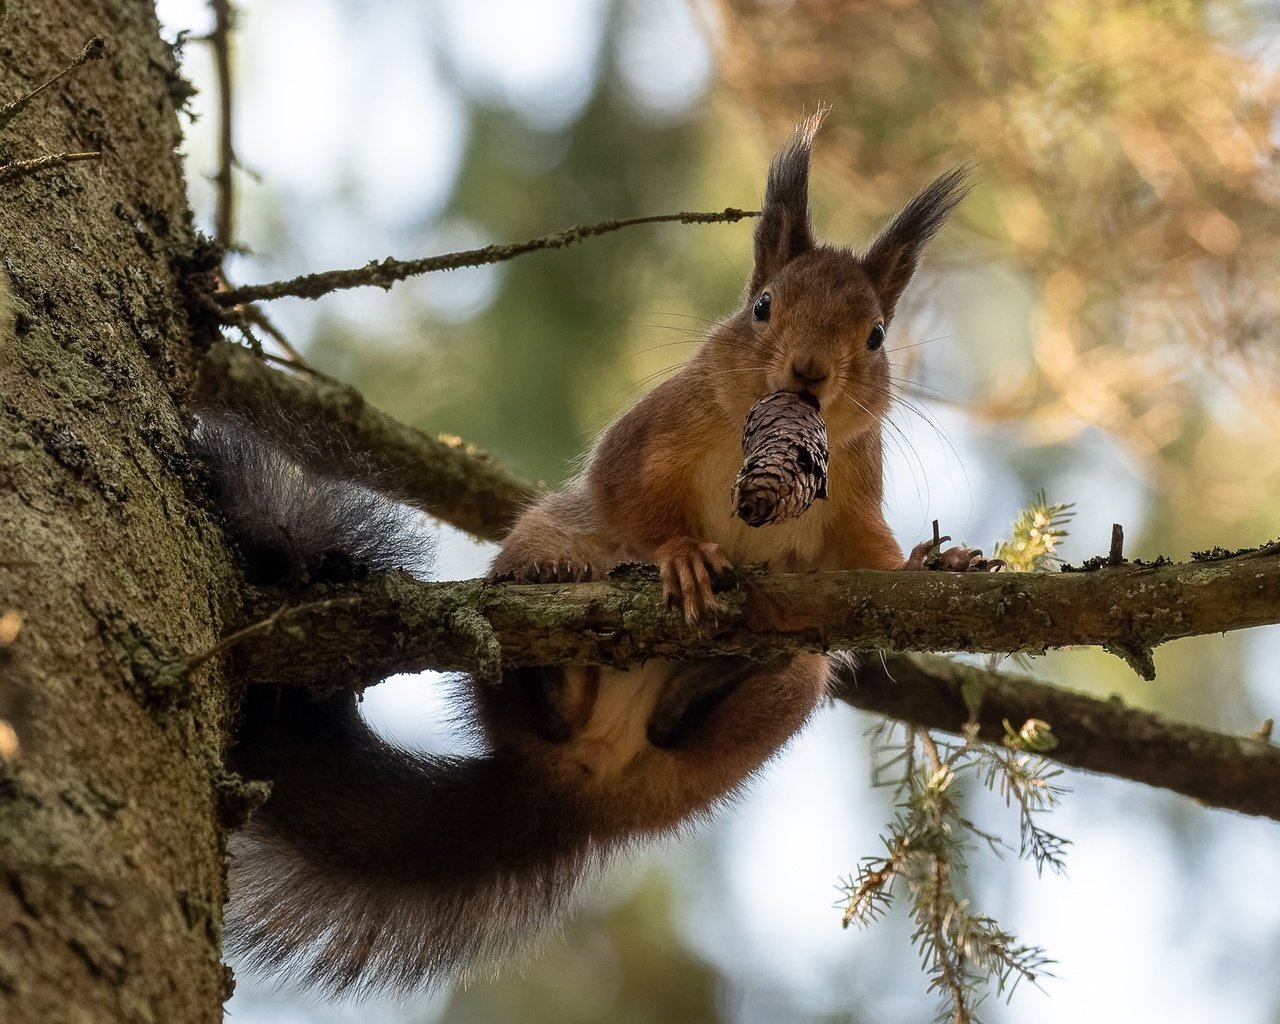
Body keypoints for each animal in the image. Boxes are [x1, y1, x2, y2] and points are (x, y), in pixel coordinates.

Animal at [212, 113, 967, 998]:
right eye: (762, 306)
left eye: (876, 336)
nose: (810, 373)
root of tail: (578, 796)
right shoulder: (651, 435)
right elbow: (630, 495)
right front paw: (681, 554)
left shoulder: (852, 495)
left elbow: (870, 558)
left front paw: (934, 565)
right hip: (536, 566)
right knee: (538, 682)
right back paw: (556, 635)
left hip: (792, 687)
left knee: (701, 715)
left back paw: (713, 678)